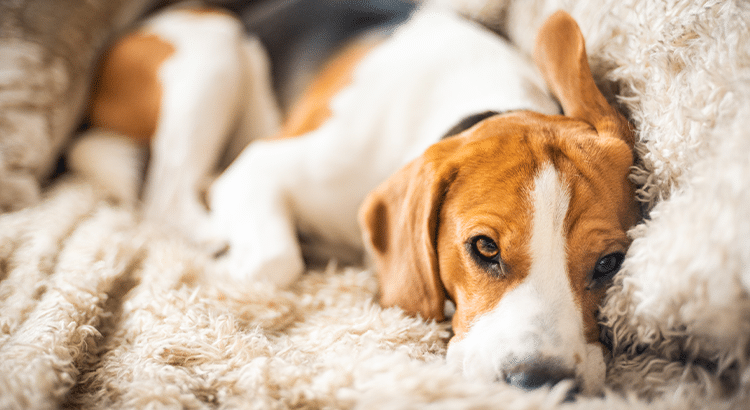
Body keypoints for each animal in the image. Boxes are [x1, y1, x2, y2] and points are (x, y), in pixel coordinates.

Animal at [73, 1, 644, 396]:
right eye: (484, 248)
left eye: (609, 264)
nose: (539, 383)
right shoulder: (258, 169)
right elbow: (275, 261)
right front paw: (231, 270)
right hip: (214, 54)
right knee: (168, 196)